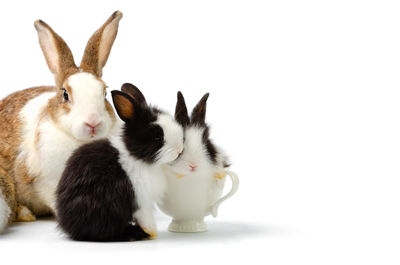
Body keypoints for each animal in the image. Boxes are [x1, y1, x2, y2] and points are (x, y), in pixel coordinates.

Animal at [56, 83, 184, 240]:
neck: (136, 156)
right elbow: (145, 218)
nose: (180, 150)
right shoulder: (141, 200)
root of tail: (68, 226)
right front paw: (152, 233)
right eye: (157, 137)